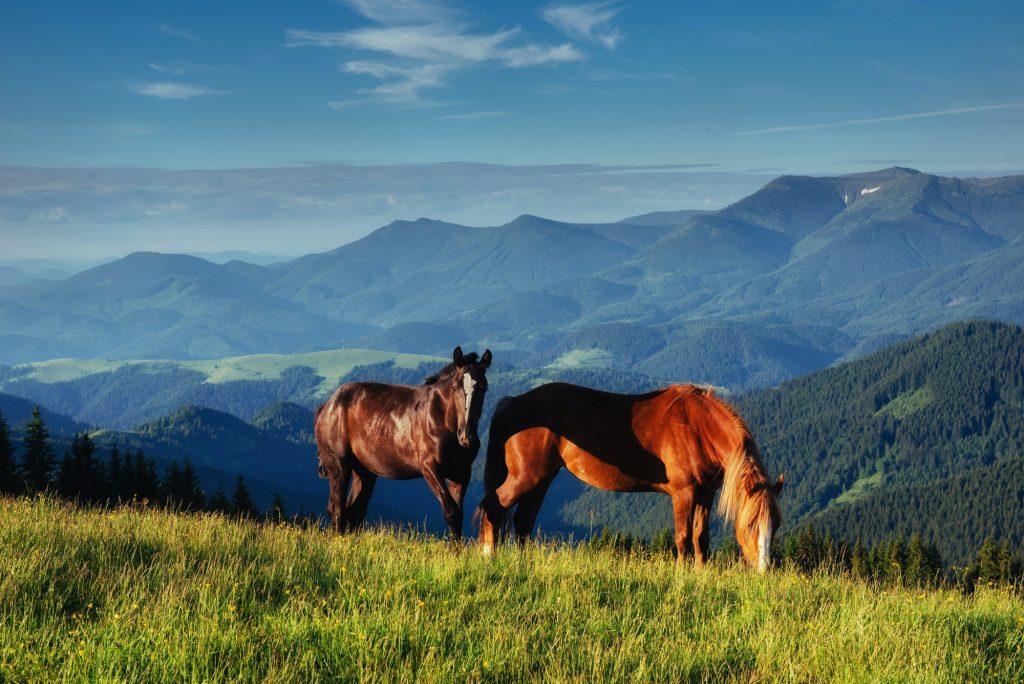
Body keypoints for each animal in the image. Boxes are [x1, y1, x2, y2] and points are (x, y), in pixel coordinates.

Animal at [315, 346, 492, 540]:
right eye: (455, 387)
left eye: (483, 387)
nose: (467, 436)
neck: (440, 418)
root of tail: (327, 406)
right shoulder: (430, 467)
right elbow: (450, 510)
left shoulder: (461, 472)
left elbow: (458, 514)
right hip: (339, 465)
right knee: (337, 508)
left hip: (364, 471)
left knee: (354, 510)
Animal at [476, 382, 783, 570]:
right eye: (750, 525)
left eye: (776, 525)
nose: (764, 569)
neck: (699, 427)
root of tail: (514, 403)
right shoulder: (683, 493)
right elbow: (683, 537)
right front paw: (683, 573)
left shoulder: (706, 494)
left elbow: (700, 538)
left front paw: (700, 572)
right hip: (525, 477)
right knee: (494, 505)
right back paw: (489, 556)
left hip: (541, 480)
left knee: (522, 520)